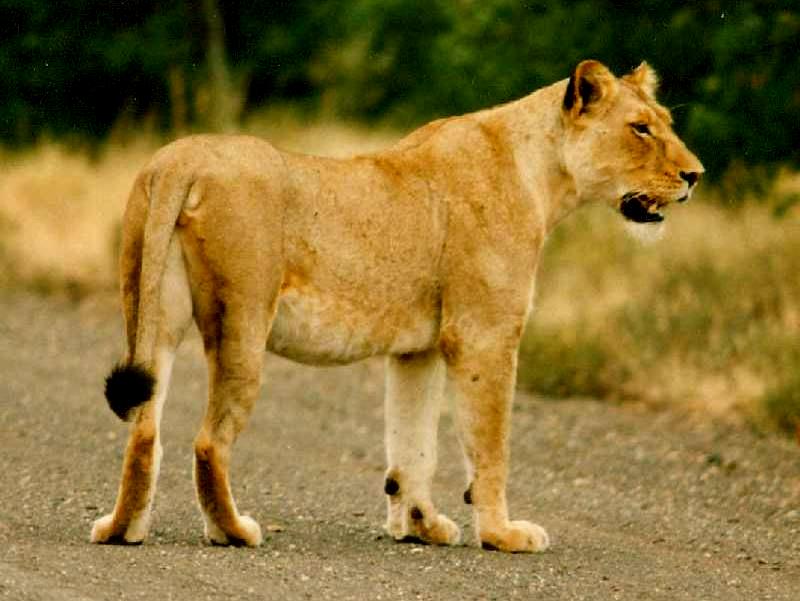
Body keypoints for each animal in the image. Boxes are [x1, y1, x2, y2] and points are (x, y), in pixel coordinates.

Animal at [91, 60, 702, 552]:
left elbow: (414, 443)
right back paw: (234, 531)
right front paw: (502, 535)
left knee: (144, 429)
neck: (545, 175)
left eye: (664, 121)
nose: (694, 176)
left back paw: (121, 529)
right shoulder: (484, 334)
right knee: (208, 441)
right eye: (640, 128)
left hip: (151, 313)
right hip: (241, 317)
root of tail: (180, 157)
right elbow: (490, 445)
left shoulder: (419, 350)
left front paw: (420, 525)